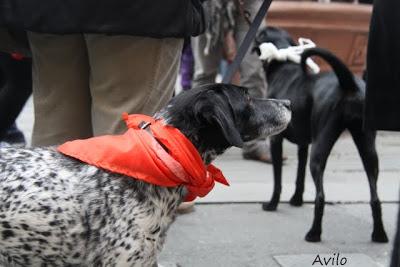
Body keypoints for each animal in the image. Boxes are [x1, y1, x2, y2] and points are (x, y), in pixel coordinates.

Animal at [255, 27, 390, 245]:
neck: (284, 68)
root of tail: (348, 83)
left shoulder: (276, 140)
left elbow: (278, 180)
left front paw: (272, 204)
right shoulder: (303, 144)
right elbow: (299, 176)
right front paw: (297, 200)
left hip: (320, 149)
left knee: (321, 196)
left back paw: (314, 233)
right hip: (368, 147)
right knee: (375, 196)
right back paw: (379, 234)